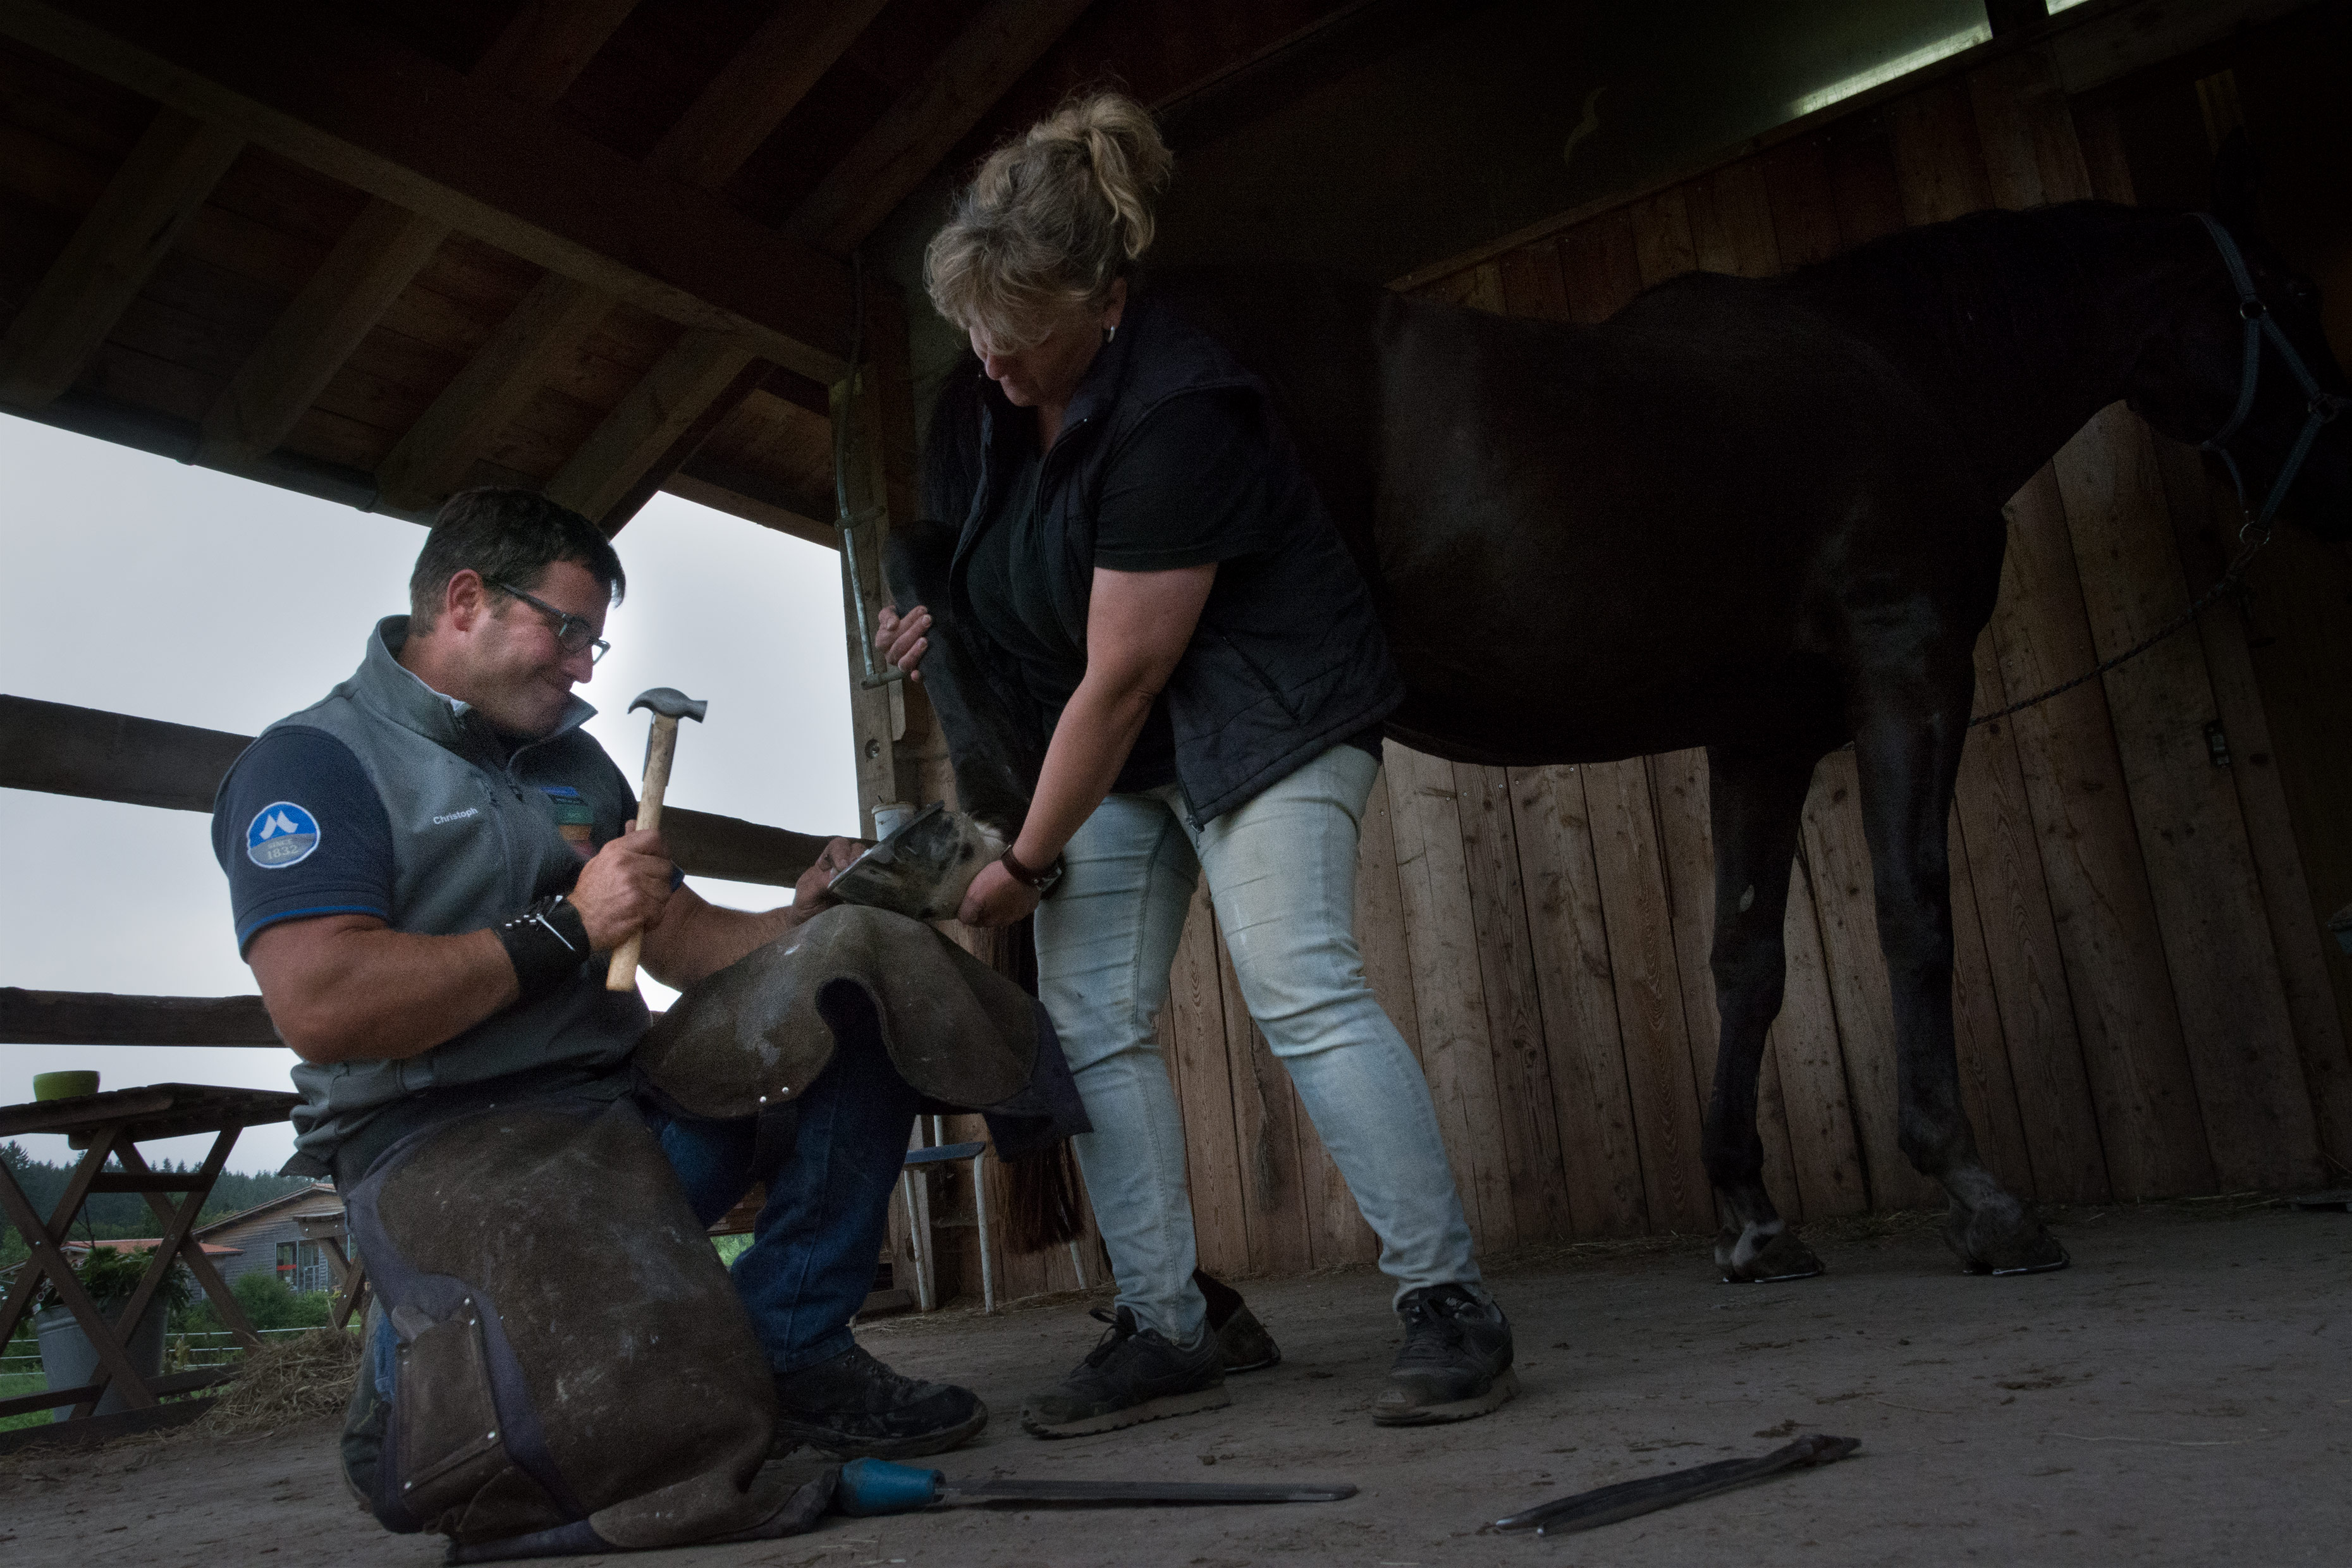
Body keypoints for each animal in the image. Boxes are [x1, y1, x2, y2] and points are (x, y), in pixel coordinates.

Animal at [889, 190, 2343, 1278]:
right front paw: (1978, 1193)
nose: (2333, 476)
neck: (1895, 368)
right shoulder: (1912, 667)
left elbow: (1745, 957)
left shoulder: (1764, 734)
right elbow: (1914, 911)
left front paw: (1752, 1216)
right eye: (2284, 297)